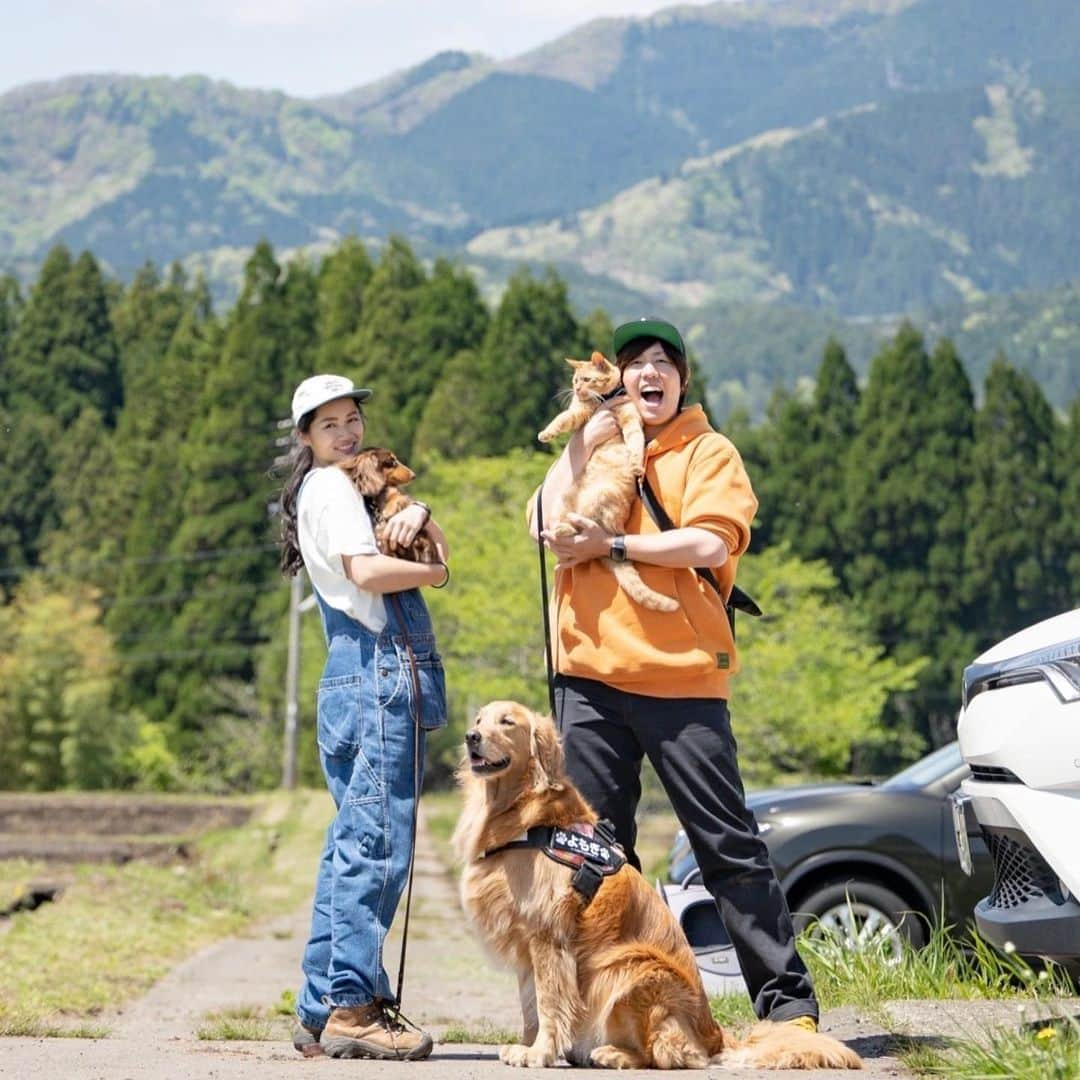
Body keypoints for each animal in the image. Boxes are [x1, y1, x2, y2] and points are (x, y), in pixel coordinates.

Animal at [451, 699, 864, 1071]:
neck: (525, 816)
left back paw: (614, 1055)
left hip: (630, 968)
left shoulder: (548, 937)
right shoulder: (526, 944)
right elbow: (529, 1005)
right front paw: (528, 1045)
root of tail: (714, 1035)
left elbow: (548, 1002)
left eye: (507, 722)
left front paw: (539, 1053)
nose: (471, 736)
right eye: (479, 719)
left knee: (664, 1054)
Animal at [537, 352, 678, 613]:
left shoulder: (631, 418)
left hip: (600, 498)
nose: (577, 389)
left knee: (587, 526)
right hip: (562, 504)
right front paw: (546, 433)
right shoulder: (579, 412)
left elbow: (635, 441)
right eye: (574, 381)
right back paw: (559, 530)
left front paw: (636, 464)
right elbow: (562, 419)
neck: (604, 400)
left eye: (585, 379)